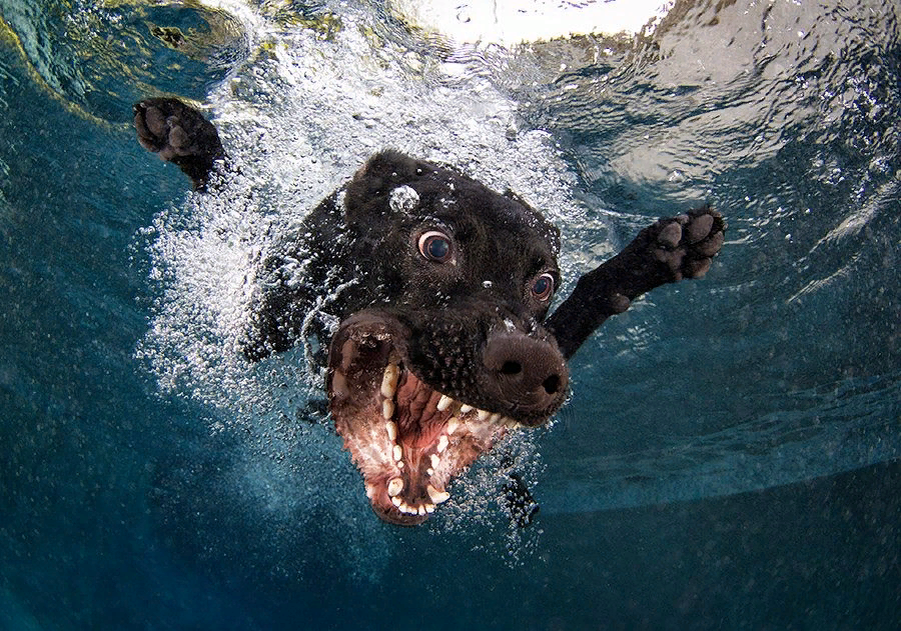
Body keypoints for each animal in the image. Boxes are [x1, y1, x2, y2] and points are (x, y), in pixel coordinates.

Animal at [134, 97, 724, 524]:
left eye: (543, 283)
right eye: (435, 247)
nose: (533, 365)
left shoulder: (549, 329)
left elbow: (588, 300)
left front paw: (654, 256)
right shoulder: (266, 316)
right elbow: (238, 205)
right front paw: (197, 145)